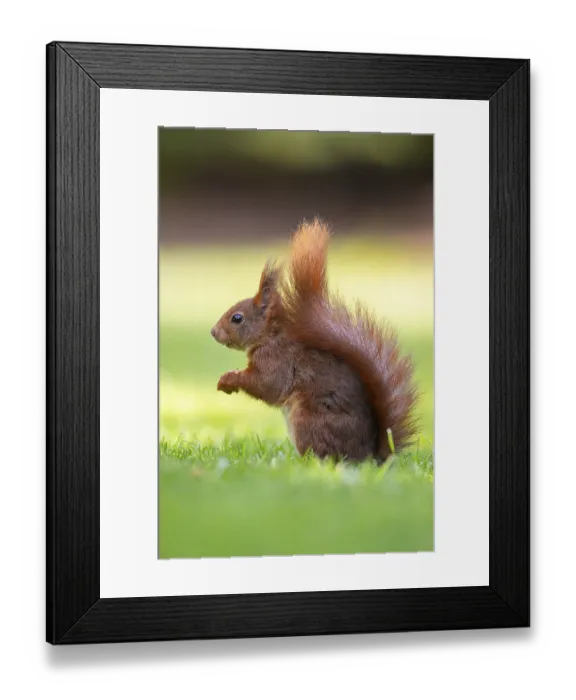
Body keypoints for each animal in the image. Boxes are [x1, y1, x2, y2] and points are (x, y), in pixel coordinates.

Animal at [211, 219, 418, 463]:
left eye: (237, 318)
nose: (213, 332)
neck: (270, 336)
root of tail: (369, 457)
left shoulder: (277, 361)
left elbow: (267, 385)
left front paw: (229, 378)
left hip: (308, 421)